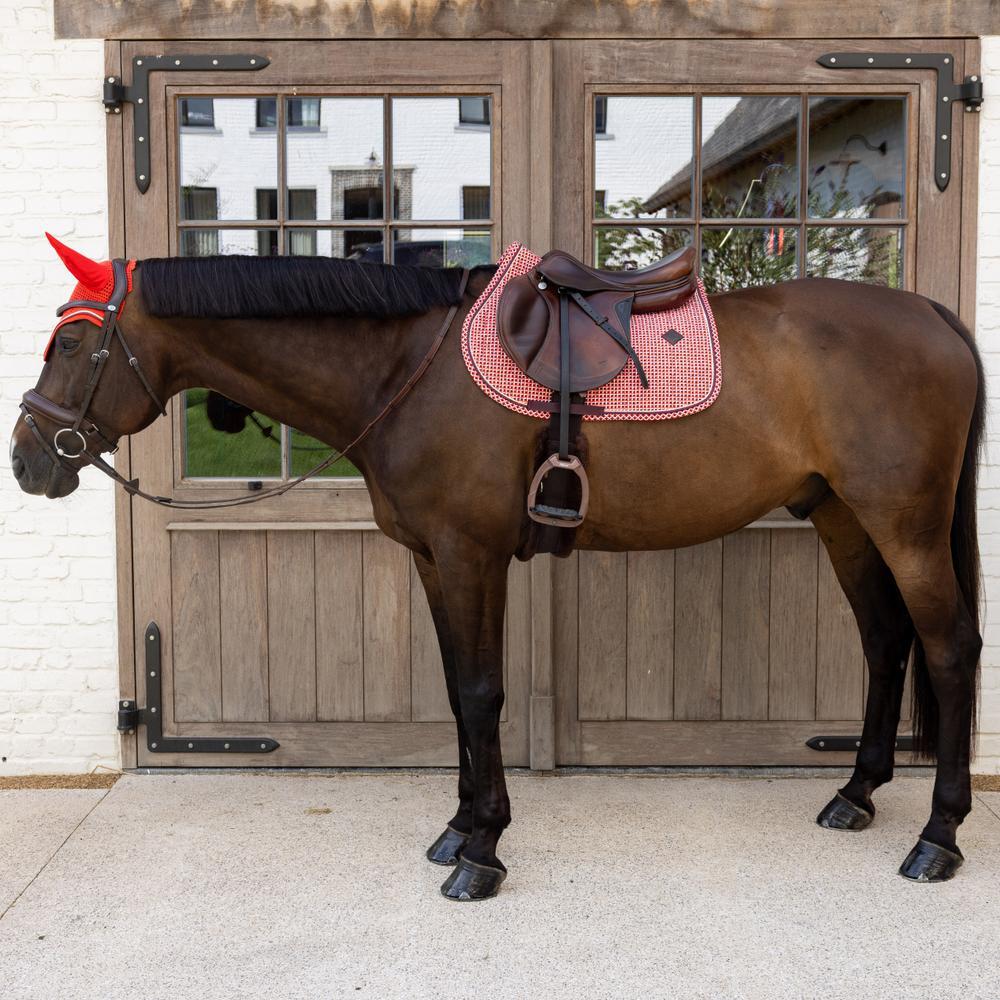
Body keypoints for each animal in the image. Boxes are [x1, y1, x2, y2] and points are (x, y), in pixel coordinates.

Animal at [10, 237, 984, 900]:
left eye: (73, 345)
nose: (27, 460)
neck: (406, 367)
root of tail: (935, 315)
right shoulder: (435, 559)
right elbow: (457, 692)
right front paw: (459, 827)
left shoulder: (470, 554)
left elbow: (482, 693)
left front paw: (480, 853)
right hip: (844, 518)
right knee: (885, 642)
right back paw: (856, 794)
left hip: (903, 525)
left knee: (949, 650)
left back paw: (938, 838)